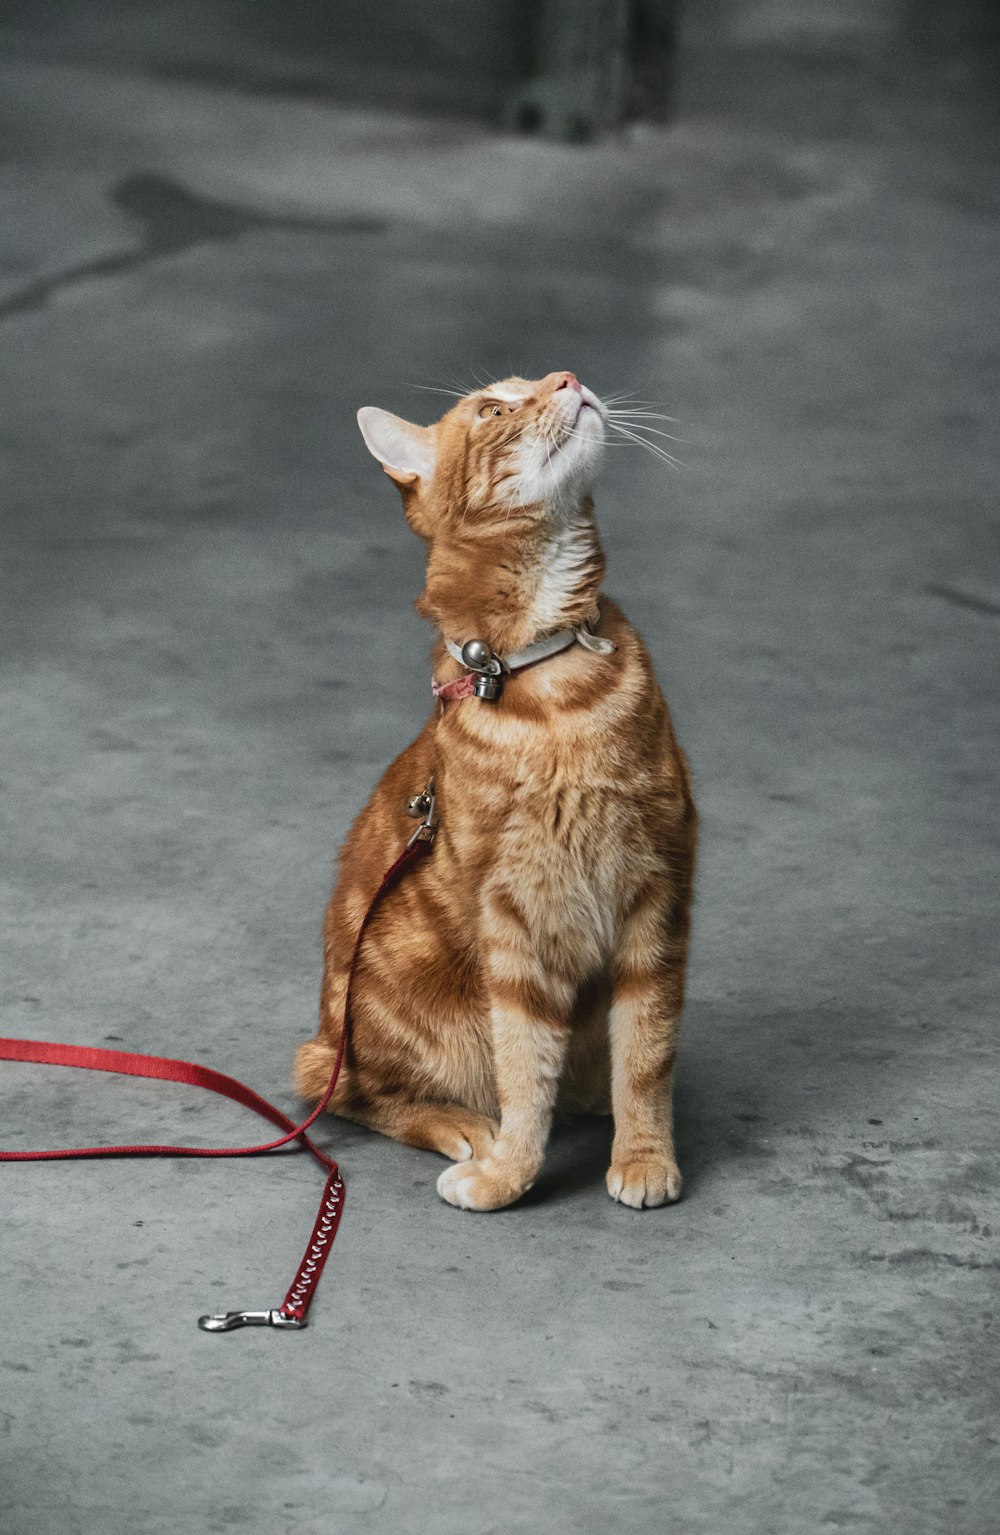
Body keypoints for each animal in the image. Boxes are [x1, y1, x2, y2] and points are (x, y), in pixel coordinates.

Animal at [294, 368, 697, 1209]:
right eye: (492, 409)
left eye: (541, 379)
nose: (569, 376)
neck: (548, 683)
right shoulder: (511, 919)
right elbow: (522, 1064)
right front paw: (511, 1170)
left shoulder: (659, 889)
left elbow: (646, 1054)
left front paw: (645, 1156)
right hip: (384, 1015)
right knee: (344, 1088)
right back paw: (461, 1125)